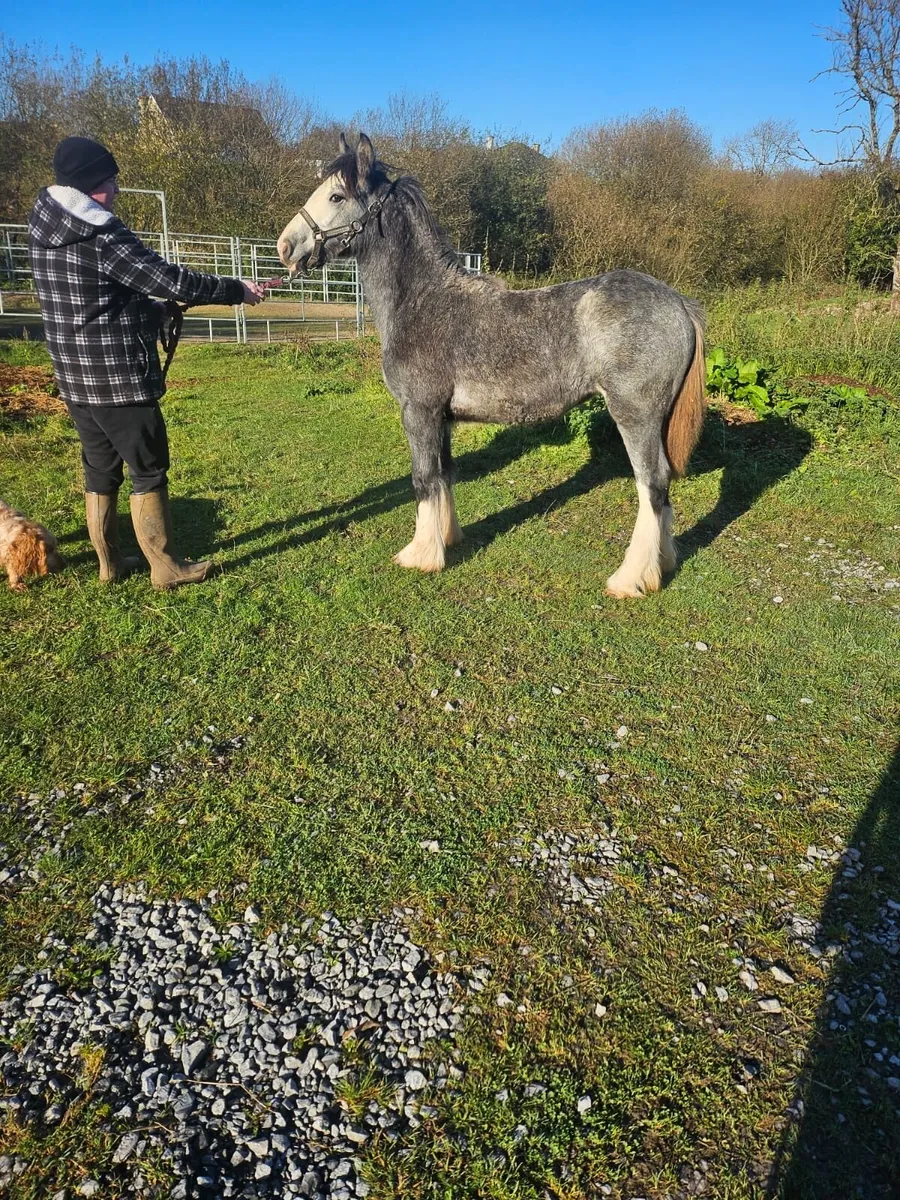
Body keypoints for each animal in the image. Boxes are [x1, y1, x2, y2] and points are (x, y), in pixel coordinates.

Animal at [277, 133, 706, 597]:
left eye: (336, 196)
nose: (285, 246)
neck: (422, 300)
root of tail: (679, 303)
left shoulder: (418, 412)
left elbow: (423, 480)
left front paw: (420, 556)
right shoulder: (441, 418)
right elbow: (445, 475)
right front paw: (447, 539)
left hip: (635, 415)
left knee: (652, 484)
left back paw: (631, 578)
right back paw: (661, 566)